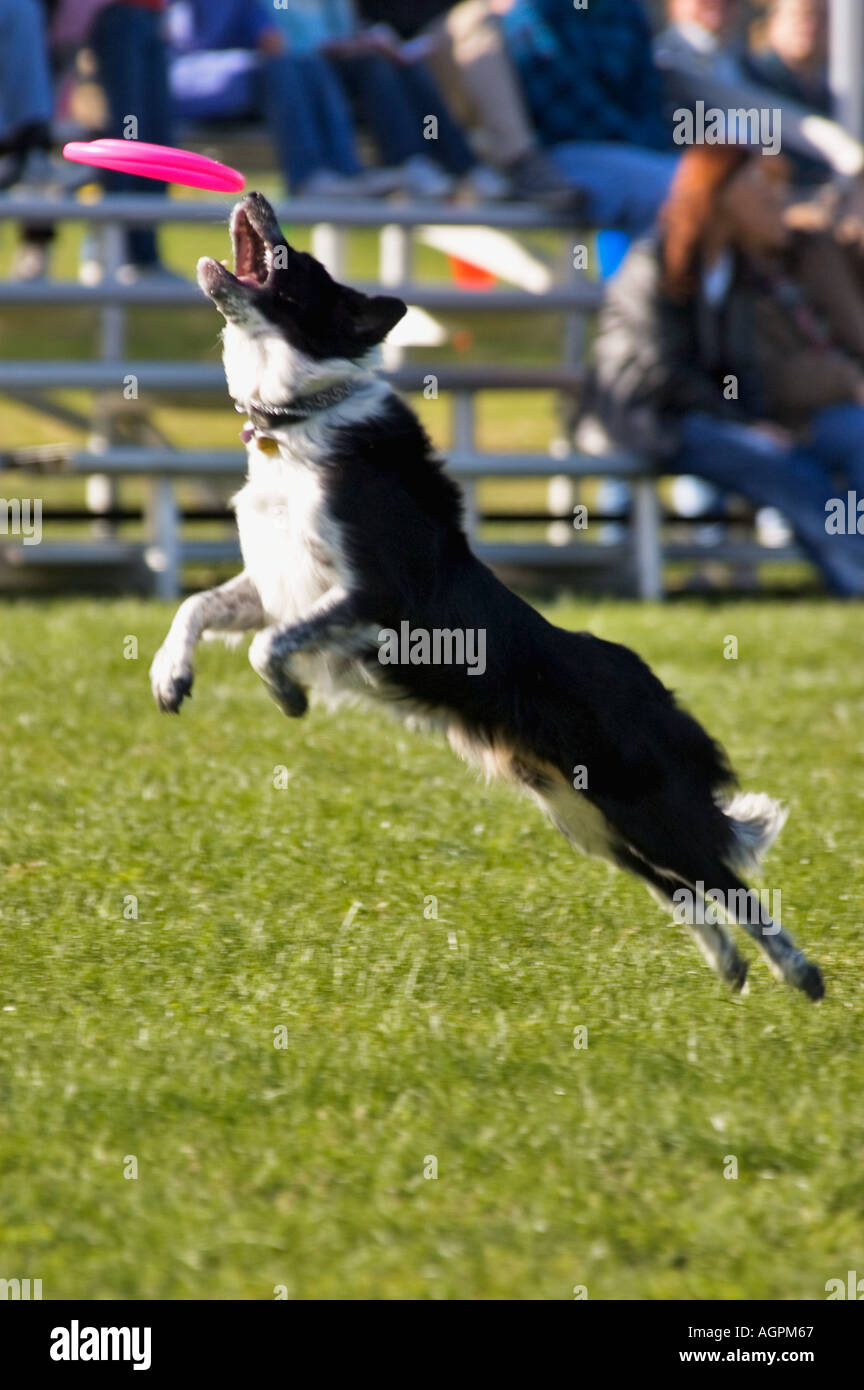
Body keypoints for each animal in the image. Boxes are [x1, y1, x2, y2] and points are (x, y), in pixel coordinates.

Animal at [150, 193, 827, 1000]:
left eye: (294, 262)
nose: (256, 196)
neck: (299, 418)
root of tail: (655, 691)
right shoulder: (277, 585)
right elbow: (197, 609)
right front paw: (170, 677)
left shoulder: (377, 597)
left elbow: (265, 646)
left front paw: (288, 696)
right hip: (583, 816)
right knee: (679, 887)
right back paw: (728, 966)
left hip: (643, 806)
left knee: (724, 880)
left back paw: (801, 972)